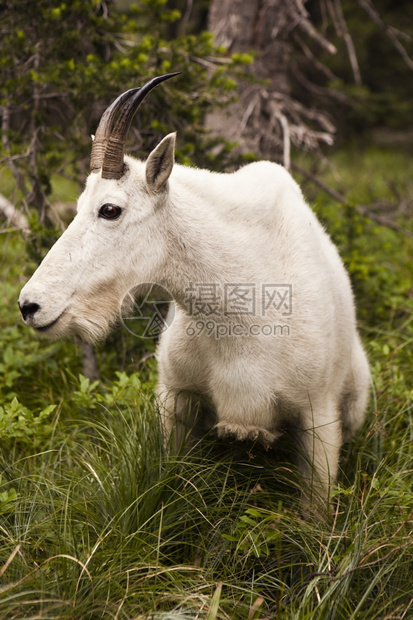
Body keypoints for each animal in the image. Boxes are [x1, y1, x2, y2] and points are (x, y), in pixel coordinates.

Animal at [18, 74, 370, 504]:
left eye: (110, 209)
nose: (30, 305)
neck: (237, 313)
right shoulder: (177, 399)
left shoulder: (318, 417)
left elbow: (313, 509)